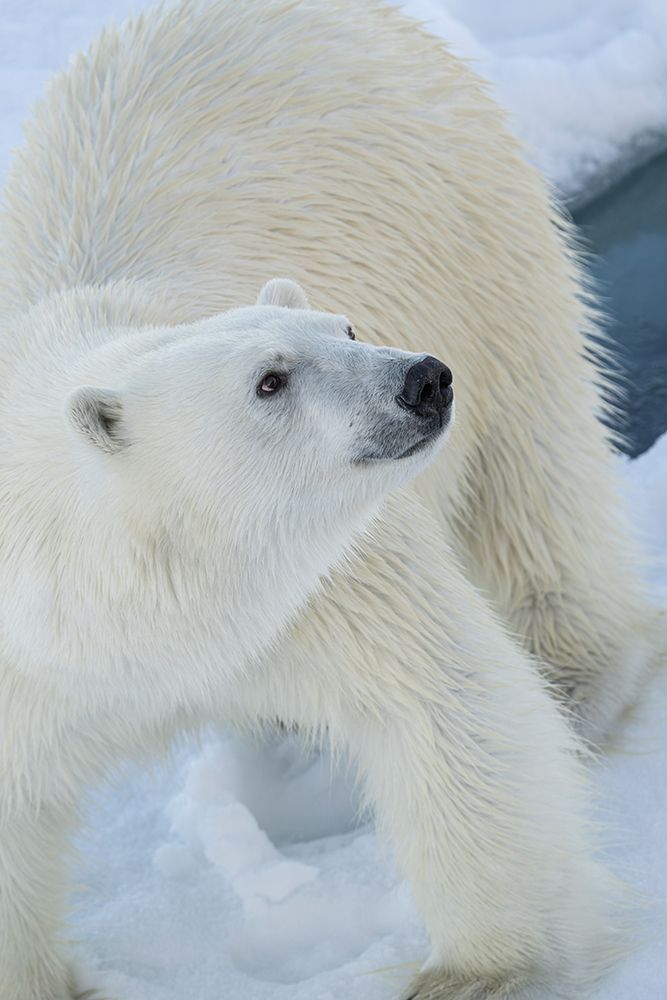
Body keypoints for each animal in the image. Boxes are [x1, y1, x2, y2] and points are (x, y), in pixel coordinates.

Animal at [0, 1, 660, 999]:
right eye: (270, 379)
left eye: (343, 326)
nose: (421, 379)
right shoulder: (37, 675)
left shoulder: (325, 578)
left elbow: (442, 700)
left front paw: (481, 970)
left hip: (476, 226)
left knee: (533, 463)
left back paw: (579, 676)